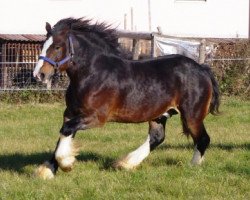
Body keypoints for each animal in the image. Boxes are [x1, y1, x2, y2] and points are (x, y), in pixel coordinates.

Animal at [32, 17, 219, 180]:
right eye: (43, 45)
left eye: (57, 46)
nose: (39, 74)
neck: (93, 73)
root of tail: (202, 69)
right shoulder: (71, 113)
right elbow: (64, 133)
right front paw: (48, 171)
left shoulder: (96, 117)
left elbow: (66, 130)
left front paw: (66, 164)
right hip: (159, 115)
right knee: (157, 137)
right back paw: (125, 164)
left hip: (192, 115)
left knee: (203, 139)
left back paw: (193, 167)